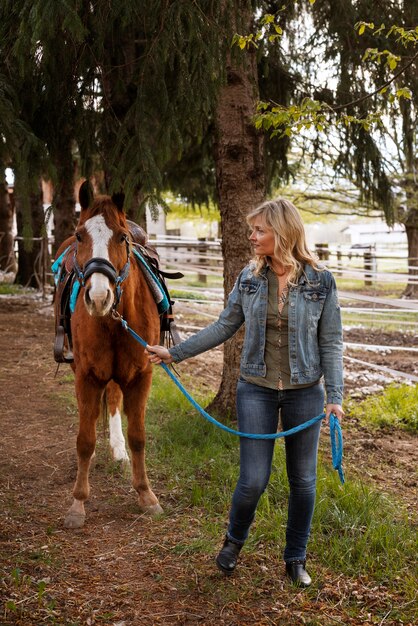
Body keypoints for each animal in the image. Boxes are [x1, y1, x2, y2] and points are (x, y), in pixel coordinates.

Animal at [58, 180, 162, 528]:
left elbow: (138, 436)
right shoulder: (87, 376)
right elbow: (85, 439)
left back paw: (118, 450)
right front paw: (77, 503)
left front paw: (146, 494)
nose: (99, 296)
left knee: (114, 399)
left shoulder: (142, 375)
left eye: (121, 237)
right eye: (80, 236)